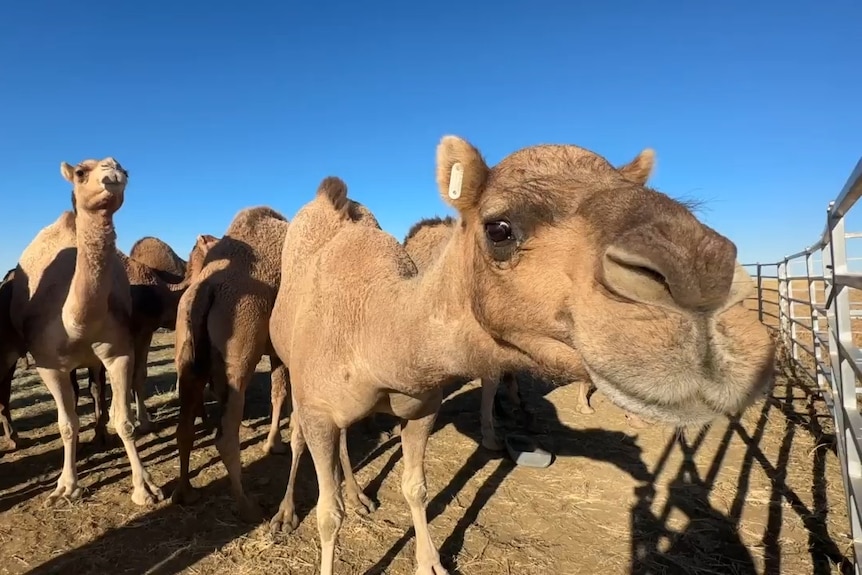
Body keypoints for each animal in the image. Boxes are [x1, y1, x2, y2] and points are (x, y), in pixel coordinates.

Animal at [8, 159, 164, 508]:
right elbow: (66, 425)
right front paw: (66, 487)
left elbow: (125, 422)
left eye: (125, 169)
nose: (113, 173)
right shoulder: (47, 364)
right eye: (81, 172)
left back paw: (101, 434)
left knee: (95, 389)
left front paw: (144, 487)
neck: (76, 323)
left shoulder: (118, 352)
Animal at [268, 136, 776, 575]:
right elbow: (327, 513)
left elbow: (416, 488)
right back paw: (285, 514)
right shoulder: (318, 408)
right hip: (292, 369)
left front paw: (430, 563)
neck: (375, 335)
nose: (708, 277)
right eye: (499, 228)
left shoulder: (421, 407)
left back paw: (360, 496)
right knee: (299, 440)